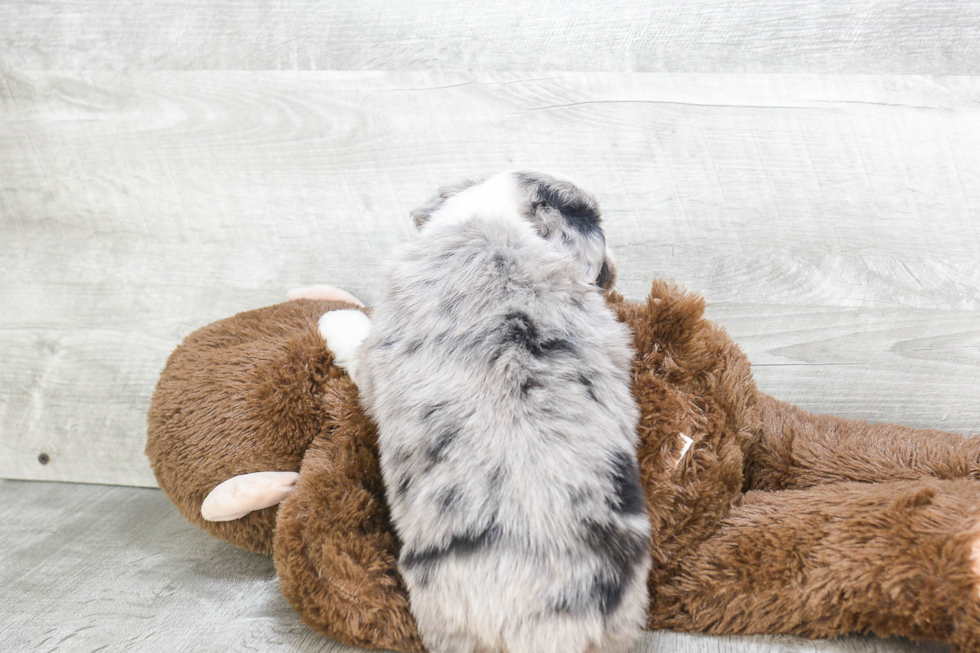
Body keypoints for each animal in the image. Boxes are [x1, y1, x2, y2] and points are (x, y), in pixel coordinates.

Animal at [322, 171, 656, 652]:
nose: (613, 270)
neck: (495, 219)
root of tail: (553, 630)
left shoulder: (371, 363)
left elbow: (354, 337)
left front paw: (332, 317)